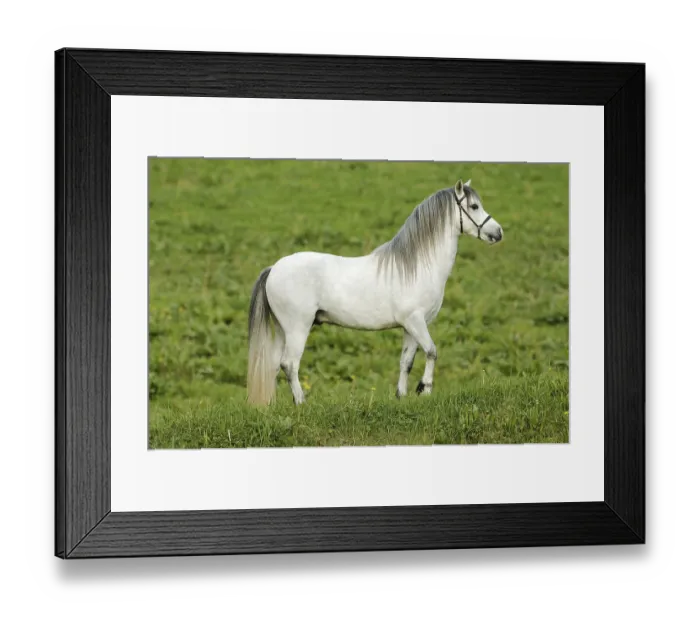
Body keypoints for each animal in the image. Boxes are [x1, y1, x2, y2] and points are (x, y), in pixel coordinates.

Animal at [247, 179, 503, 406]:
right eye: (474, 206)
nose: (498, 232)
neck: (417, 266)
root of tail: (274, 268)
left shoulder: (411, 327)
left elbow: (406, 361)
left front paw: (401, 396)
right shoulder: (416, 321)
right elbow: (432, 352)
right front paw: (425, 390)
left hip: (283, 330)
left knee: (274, 365)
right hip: (298, 328)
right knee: (289, 364)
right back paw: (301, 403)